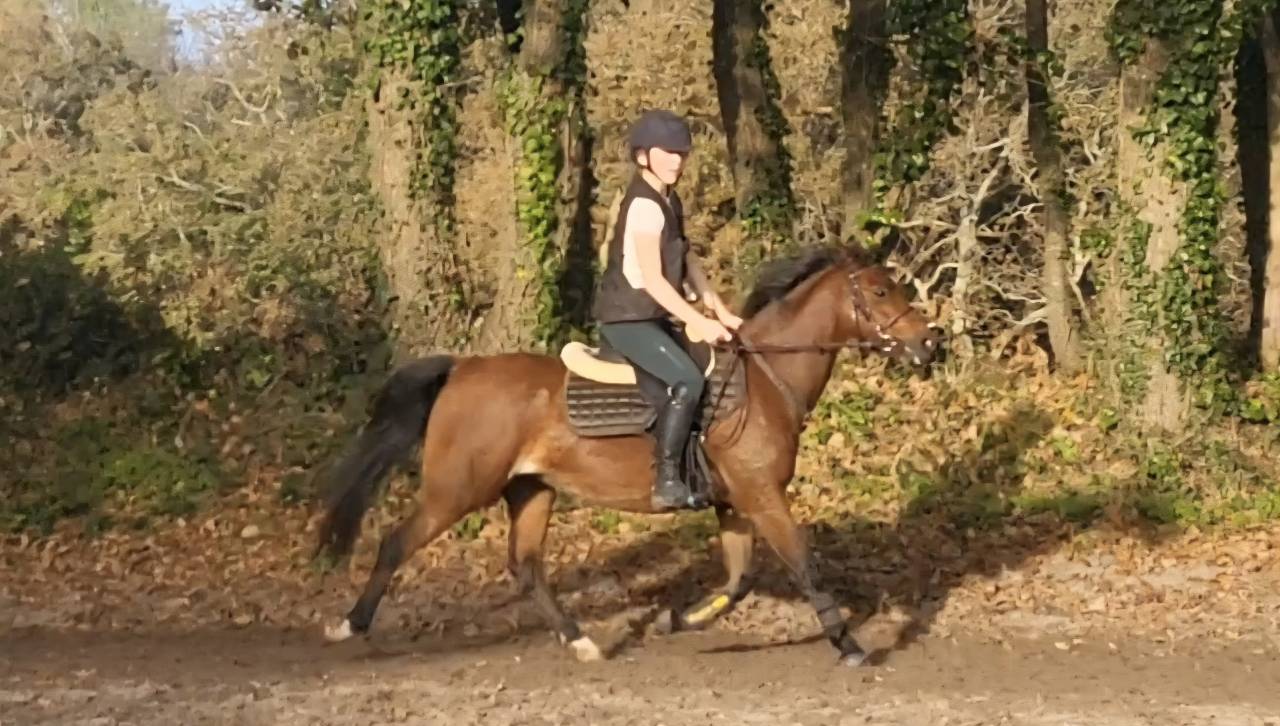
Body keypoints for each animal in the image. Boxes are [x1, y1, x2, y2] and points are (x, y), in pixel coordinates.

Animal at [314, 244, 942, 666]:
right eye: (880, 291)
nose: (930, 343)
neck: (765, 379)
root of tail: (461, 369)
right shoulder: (763, 497)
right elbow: (803, 563)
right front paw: (849, 644)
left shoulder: (735, 503)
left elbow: (738, 579)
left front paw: (679, 620)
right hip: (457, 490)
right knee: (396, 542)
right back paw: (349, 626)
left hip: (532, 490)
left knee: (527, 567)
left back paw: (582, 642)